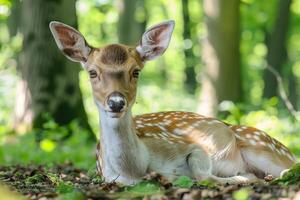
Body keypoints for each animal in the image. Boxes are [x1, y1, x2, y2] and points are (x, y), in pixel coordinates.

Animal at [49, 19, 296, 184]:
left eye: (136, 71)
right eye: (92, 72)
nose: (116, 102)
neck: (136, 168)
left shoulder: (191, 146)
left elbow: (203, 175)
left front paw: (244, 178)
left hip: (262, 146)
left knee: (290, 167)